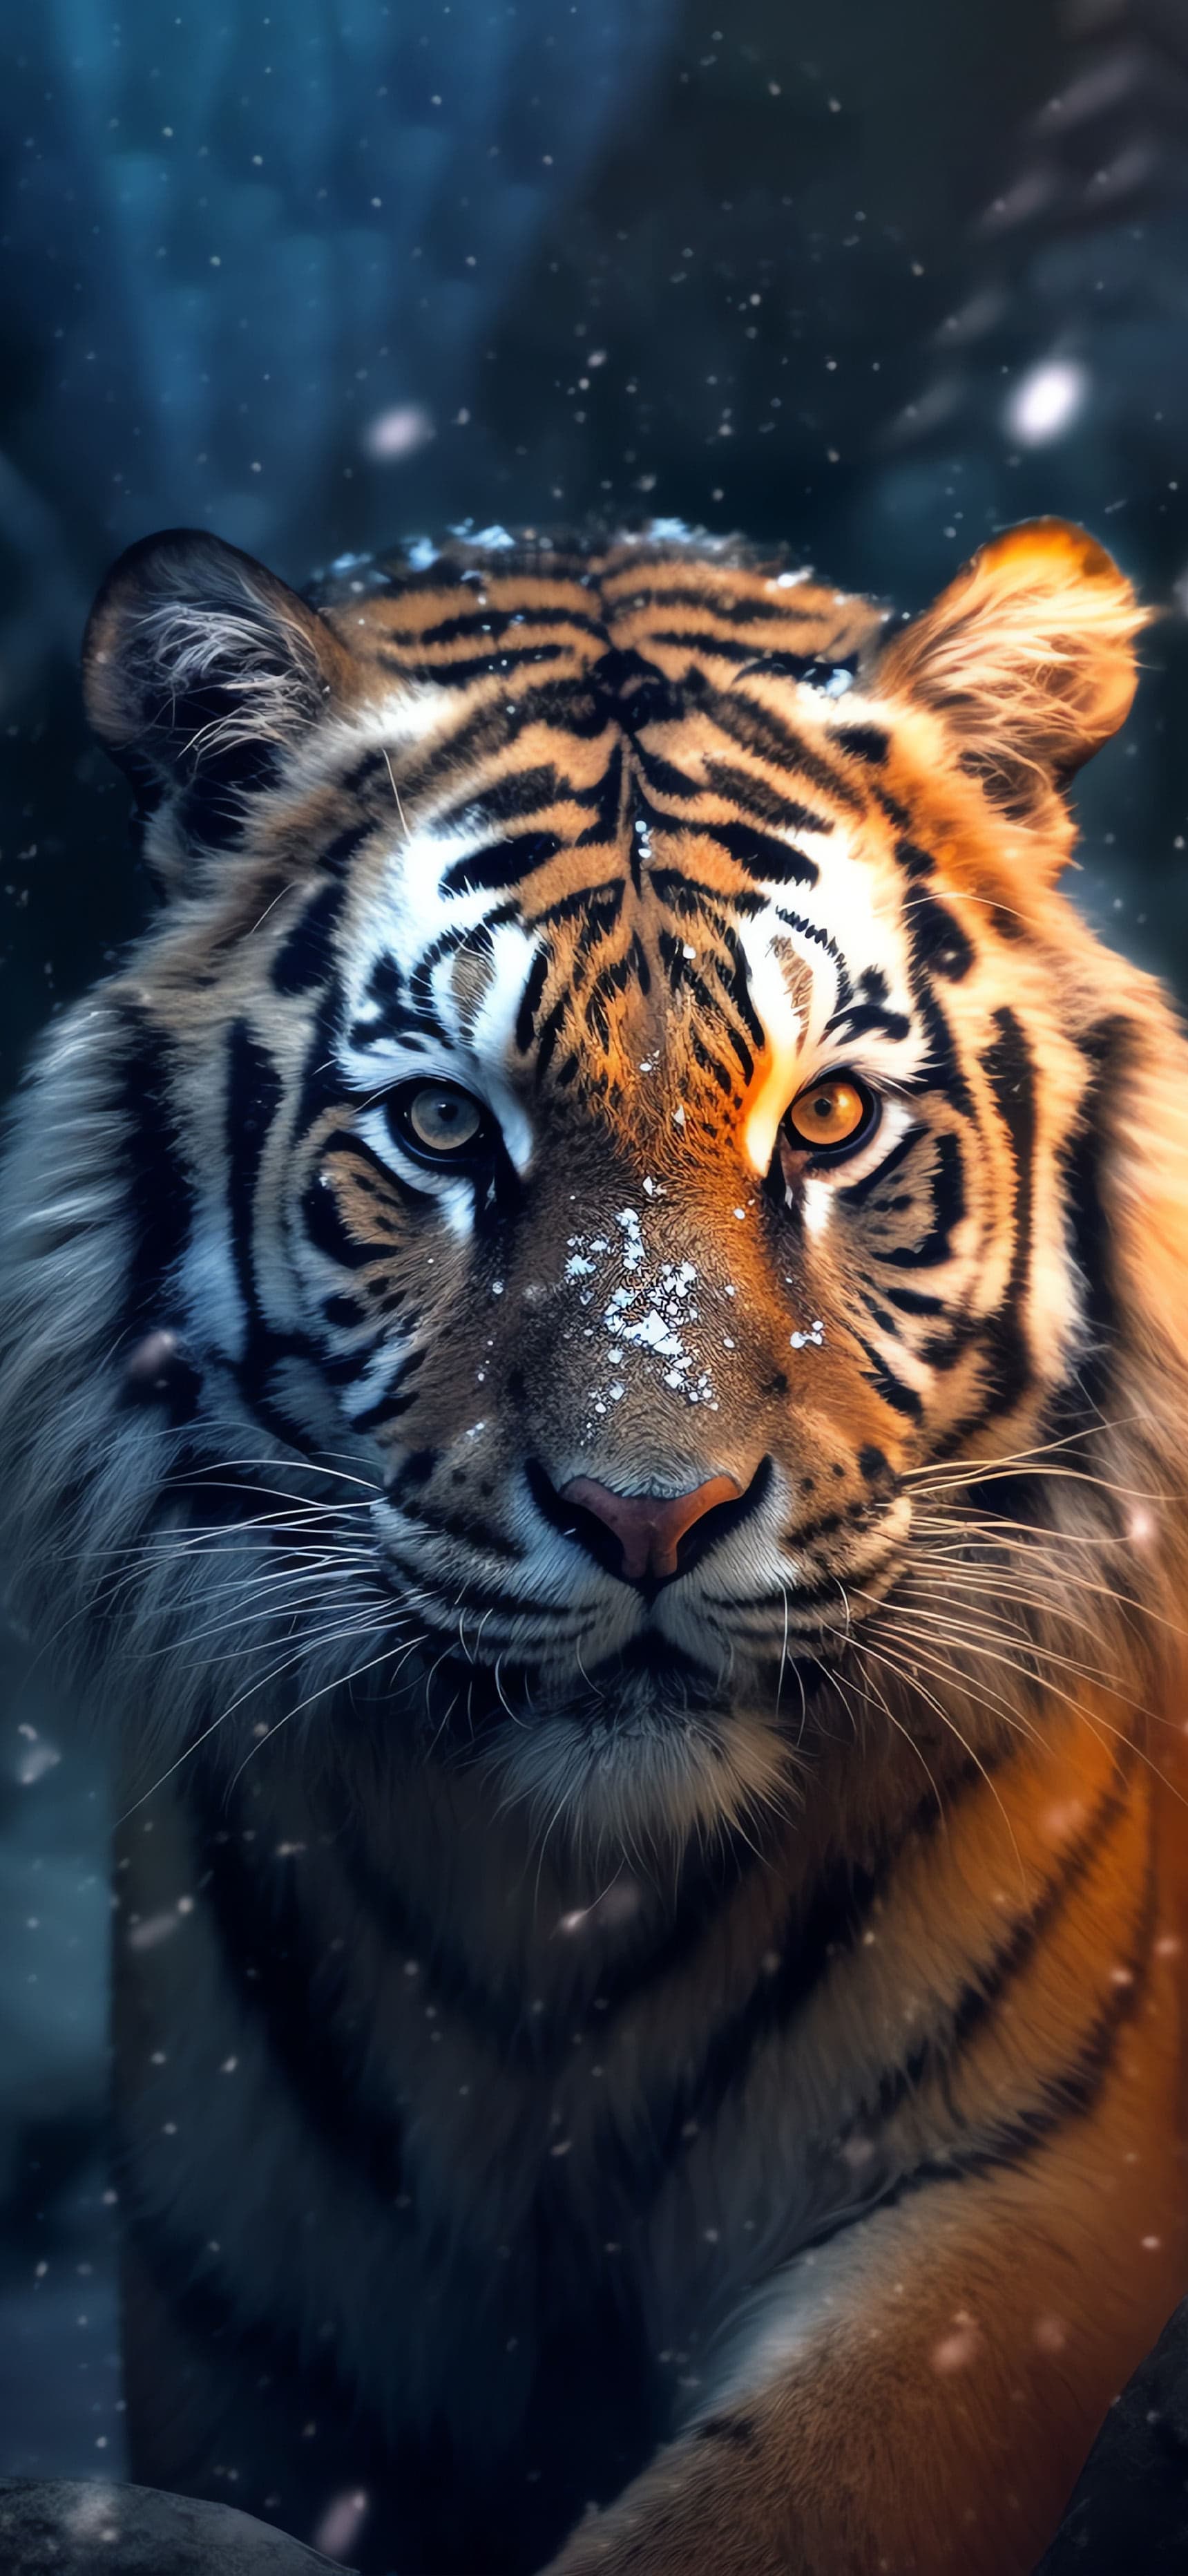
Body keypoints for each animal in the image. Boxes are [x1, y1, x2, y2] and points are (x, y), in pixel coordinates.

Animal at [0, 512, 1185, 2576]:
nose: (651, 1514)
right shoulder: (248, 2317)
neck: (562, 1936)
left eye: (832, 1118)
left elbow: (776, 2500)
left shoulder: (1024, 2199)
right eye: (441, 1126)